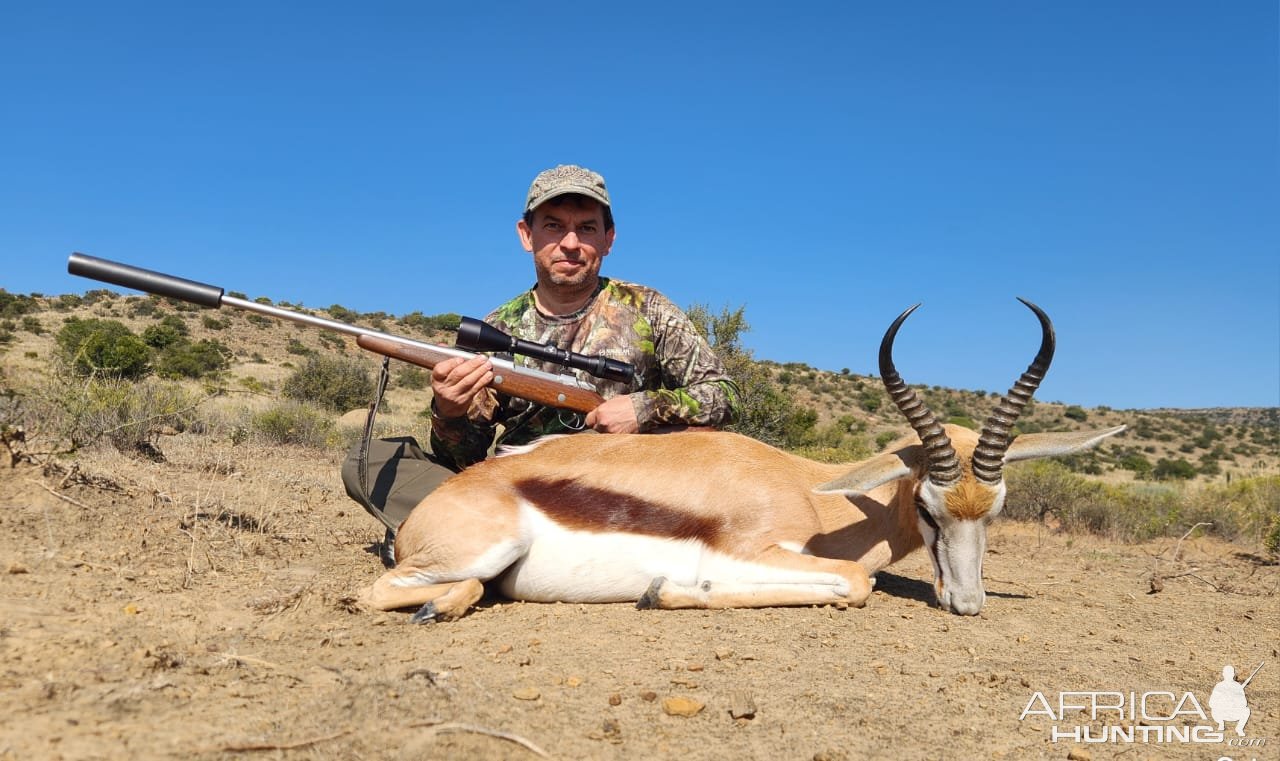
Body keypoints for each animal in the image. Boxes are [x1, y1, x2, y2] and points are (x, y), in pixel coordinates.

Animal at [360, 298, 1121, 619]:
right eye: (930, 507)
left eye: (995, 510)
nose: (967, 603)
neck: (813, 491)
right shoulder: (754, 551)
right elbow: (854, 582)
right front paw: (665, 590)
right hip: (482, 551)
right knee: (377, 591)